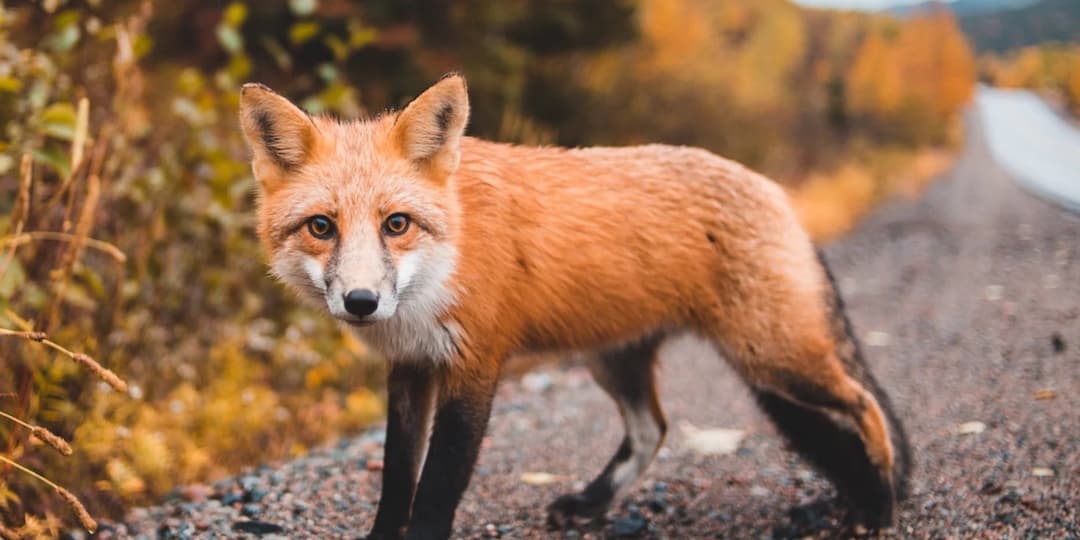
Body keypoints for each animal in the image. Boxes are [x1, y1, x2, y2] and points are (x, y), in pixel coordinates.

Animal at [238, 74, 911, 539]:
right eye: (321, 227)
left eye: (396, 224)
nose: (361, 302)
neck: (447, 258)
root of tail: (775, 190)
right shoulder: (409, 367)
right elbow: (397, 477)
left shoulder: (475, 365)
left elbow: (436, 486)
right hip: (617, 361)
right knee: (651, 430)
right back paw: (592, 503)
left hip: (771, 357)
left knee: (866, 404)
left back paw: (879, 504)